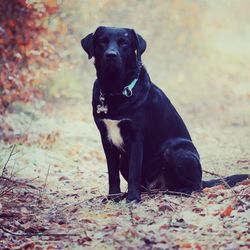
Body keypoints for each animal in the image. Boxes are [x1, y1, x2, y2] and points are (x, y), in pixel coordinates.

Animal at [81, 25, 249, 201]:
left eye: (124, 43)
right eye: (102, 42)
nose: (111, 55)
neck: (115, 89)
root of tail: (158, 186)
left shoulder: (136, 137)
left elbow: (134, 171)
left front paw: (133, 198)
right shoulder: (106, 138)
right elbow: (112, 173)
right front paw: (113, 196)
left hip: (176, 151)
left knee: (197, 185)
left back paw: (181, 190)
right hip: (125, 161)